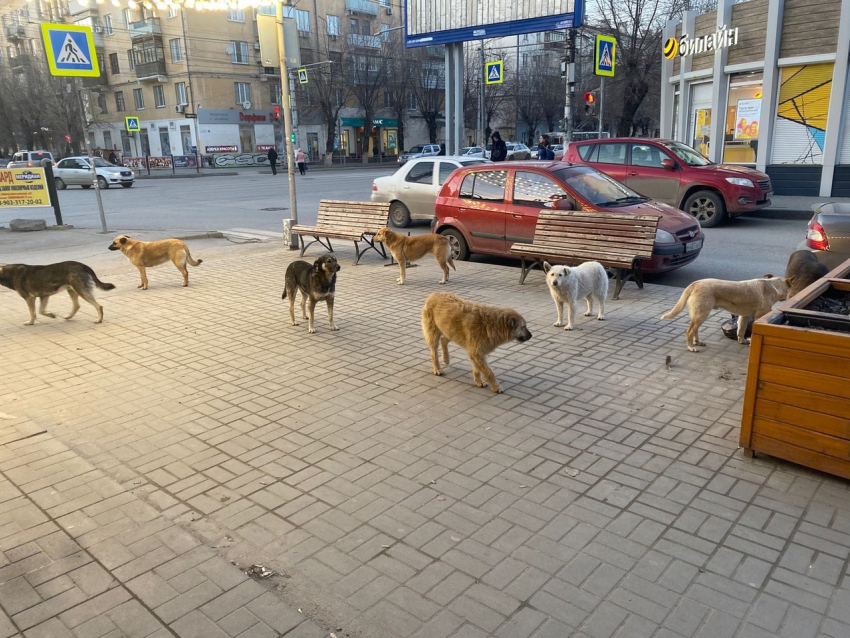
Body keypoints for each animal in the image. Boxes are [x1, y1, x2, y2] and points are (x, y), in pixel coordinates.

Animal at [660, 276, 792, 352]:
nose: (788, 298)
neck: (773, 286)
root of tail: (694, 283)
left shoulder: (744, 316)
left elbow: (741, 331)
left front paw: (742, 341)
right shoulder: (759, 316)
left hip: (699, 316)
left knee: (694, 331)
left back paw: (697, 342)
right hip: (701, 315)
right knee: (689, 332)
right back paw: (690, 347)